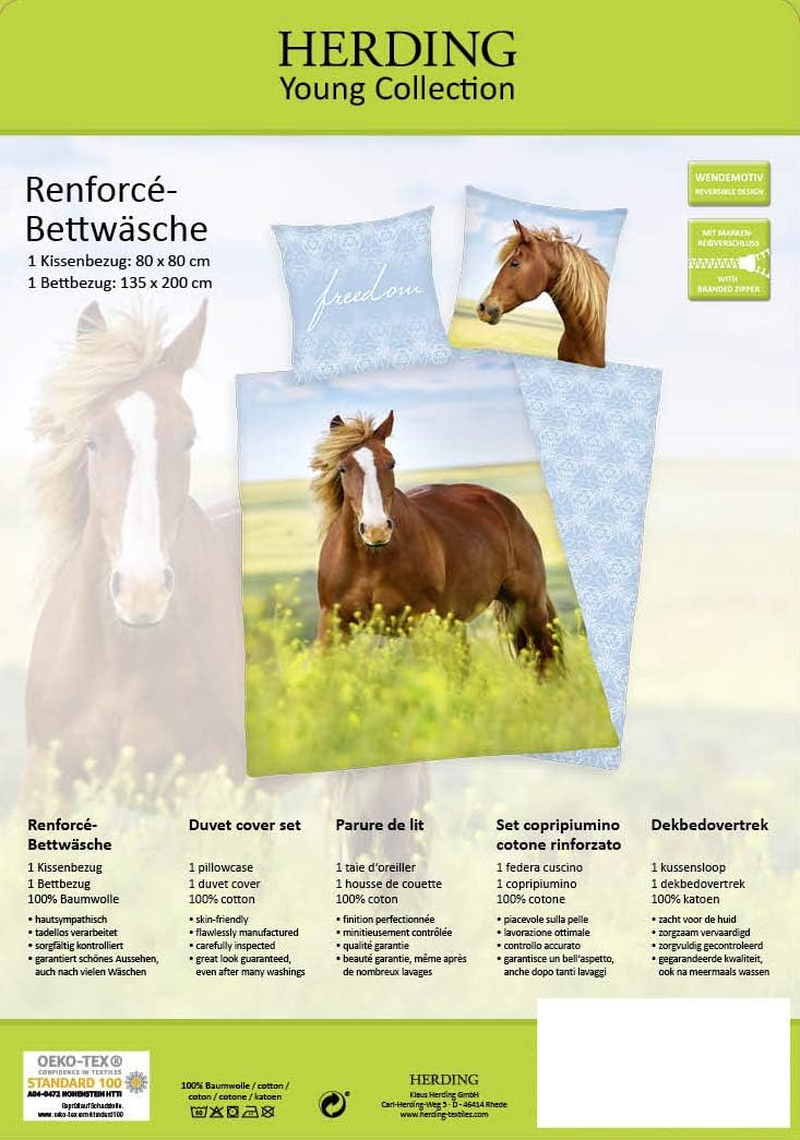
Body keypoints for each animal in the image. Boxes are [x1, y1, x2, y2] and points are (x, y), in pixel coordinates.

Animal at [311, 410, 560, 674]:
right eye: (343, 468)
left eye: (391, 463)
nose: (376, 530)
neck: (371, 561)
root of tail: (502, 504)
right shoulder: (333, 625)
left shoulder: (422, 623)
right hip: (458, 622)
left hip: (530, 608)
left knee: (547, 663)